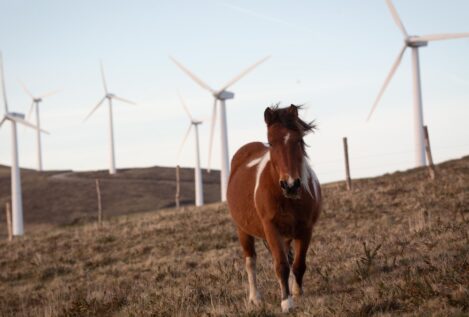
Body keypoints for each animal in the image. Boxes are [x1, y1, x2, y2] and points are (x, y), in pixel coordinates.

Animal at [228, 104, 322, 312]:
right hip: (243, 230)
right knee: (251, 262)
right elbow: (281, 265)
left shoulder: (306, 229)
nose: (291, 185)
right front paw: (286, 302)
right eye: (271, 143)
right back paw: (255, 298)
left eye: (299, 140)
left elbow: (298, 264)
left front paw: (297, 292)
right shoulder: (271, 229)